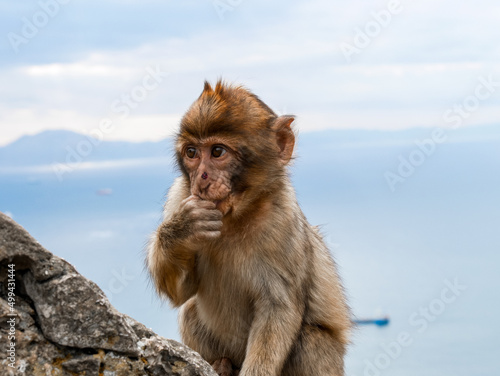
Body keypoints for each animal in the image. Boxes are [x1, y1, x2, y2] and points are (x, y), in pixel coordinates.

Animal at [146, 81, 350, 374]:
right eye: (192, 153)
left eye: (217, 152)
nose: (201, 180)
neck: (236, 215)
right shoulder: (179, 196)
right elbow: (180, 291)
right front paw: (183, 229)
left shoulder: (282, 219)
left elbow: (278, 307)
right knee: (189, 310)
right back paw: (221, 365)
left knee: (312, 339)